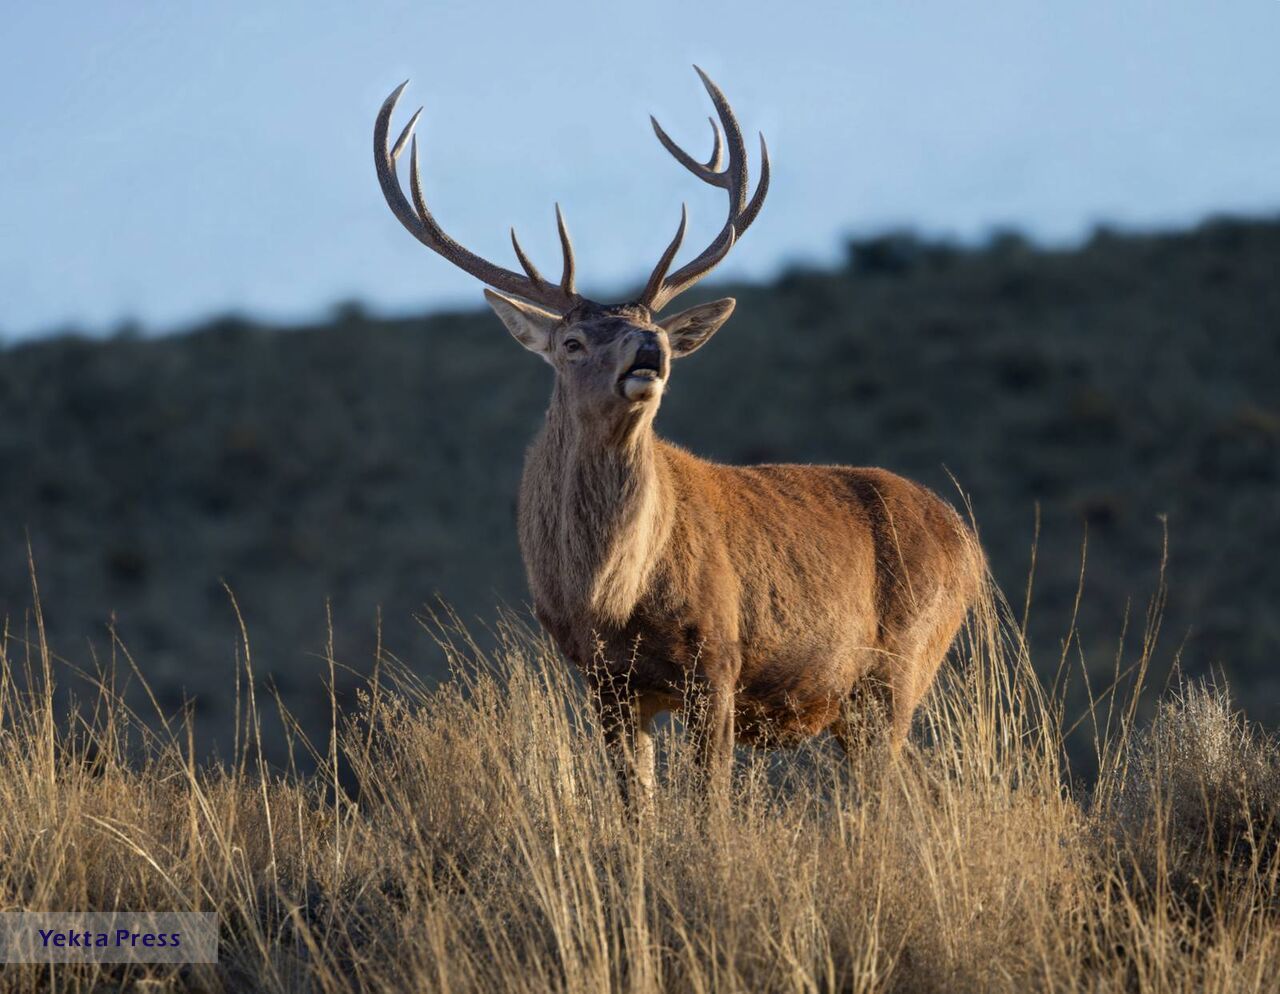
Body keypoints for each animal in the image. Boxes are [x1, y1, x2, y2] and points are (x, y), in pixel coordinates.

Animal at [373, 69, 983, 798]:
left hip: (900, 665)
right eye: (572, 341)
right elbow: (635, 806)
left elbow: (706, 807)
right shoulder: (605, 682)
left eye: (653, 329)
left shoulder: (717, 660)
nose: (650, 349)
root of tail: (966, 541)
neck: (611, 598)